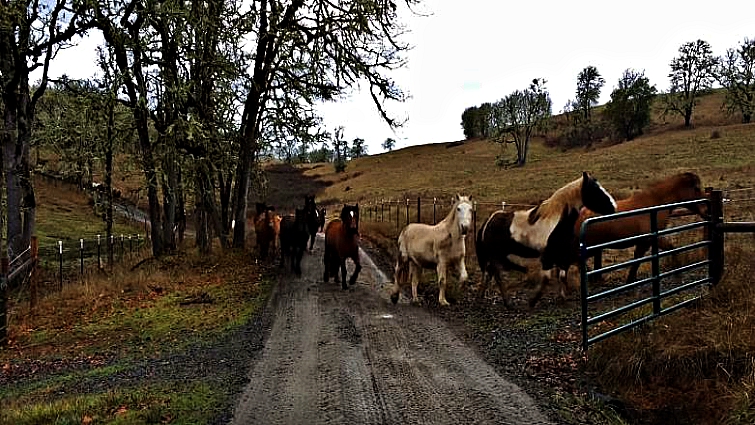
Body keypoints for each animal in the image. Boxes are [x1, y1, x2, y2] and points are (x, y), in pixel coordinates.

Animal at [478, 172, 620, 308]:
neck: (555, 221)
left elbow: (561, 276)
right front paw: (532, 302)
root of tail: (489, 221)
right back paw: (507, 303)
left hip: (498, 256)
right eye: (595, 189)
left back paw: (481, 298)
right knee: (497, 277)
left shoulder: (561, 255)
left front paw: (562, 298)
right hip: (495, 256)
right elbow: (547, 278)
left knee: (489, 274)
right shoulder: (547, 257)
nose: (614, 207)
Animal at [568, 171, 712, 284]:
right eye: (696, 188)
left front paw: (630, 281)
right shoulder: (650, 240)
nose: (707, 210)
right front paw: (678, 273)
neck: (654, 206)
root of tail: (580, 214)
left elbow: (637, 260)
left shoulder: (645, 242)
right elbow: (671, 249)